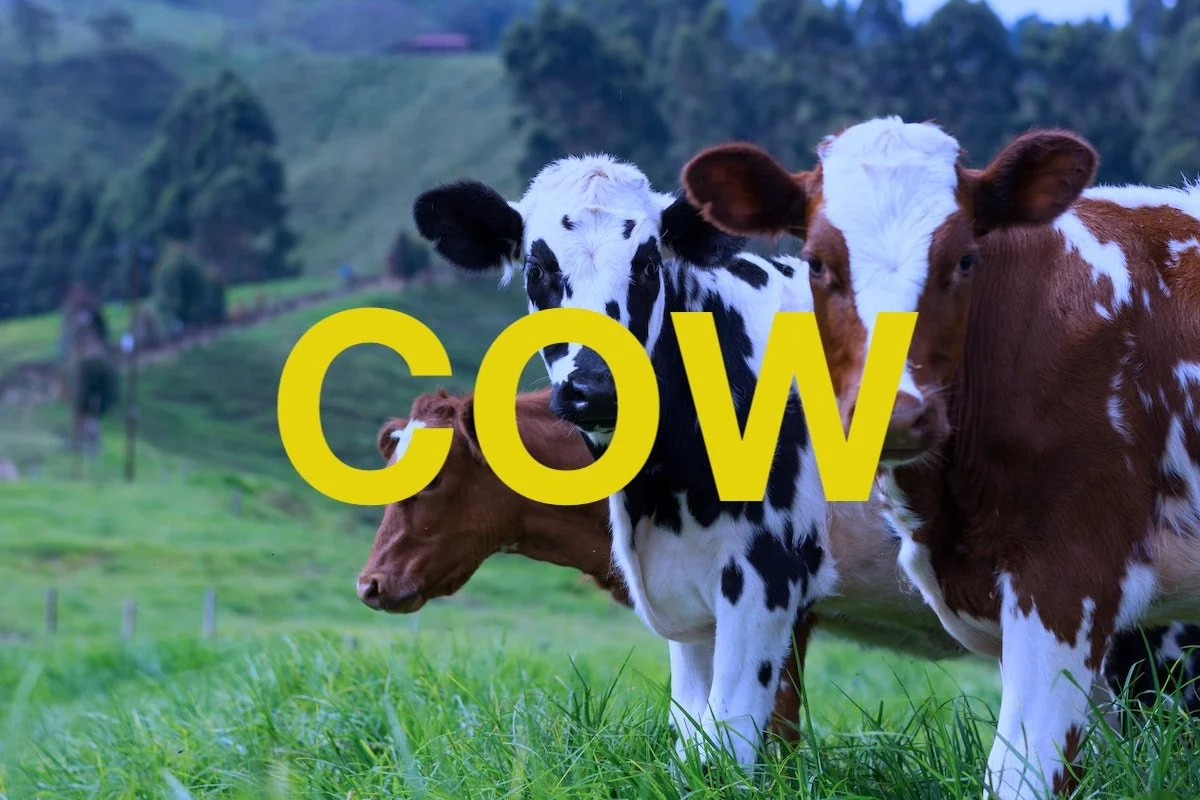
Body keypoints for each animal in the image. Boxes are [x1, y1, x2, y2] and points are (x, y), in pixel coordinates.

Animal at [410, 155, 839, 771]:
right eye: (537, 268)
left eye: (648, 264)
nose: (597, 388)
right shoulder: (690, 605)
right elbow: (689, 737)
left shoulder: (770, 571)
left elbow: (724, 743)